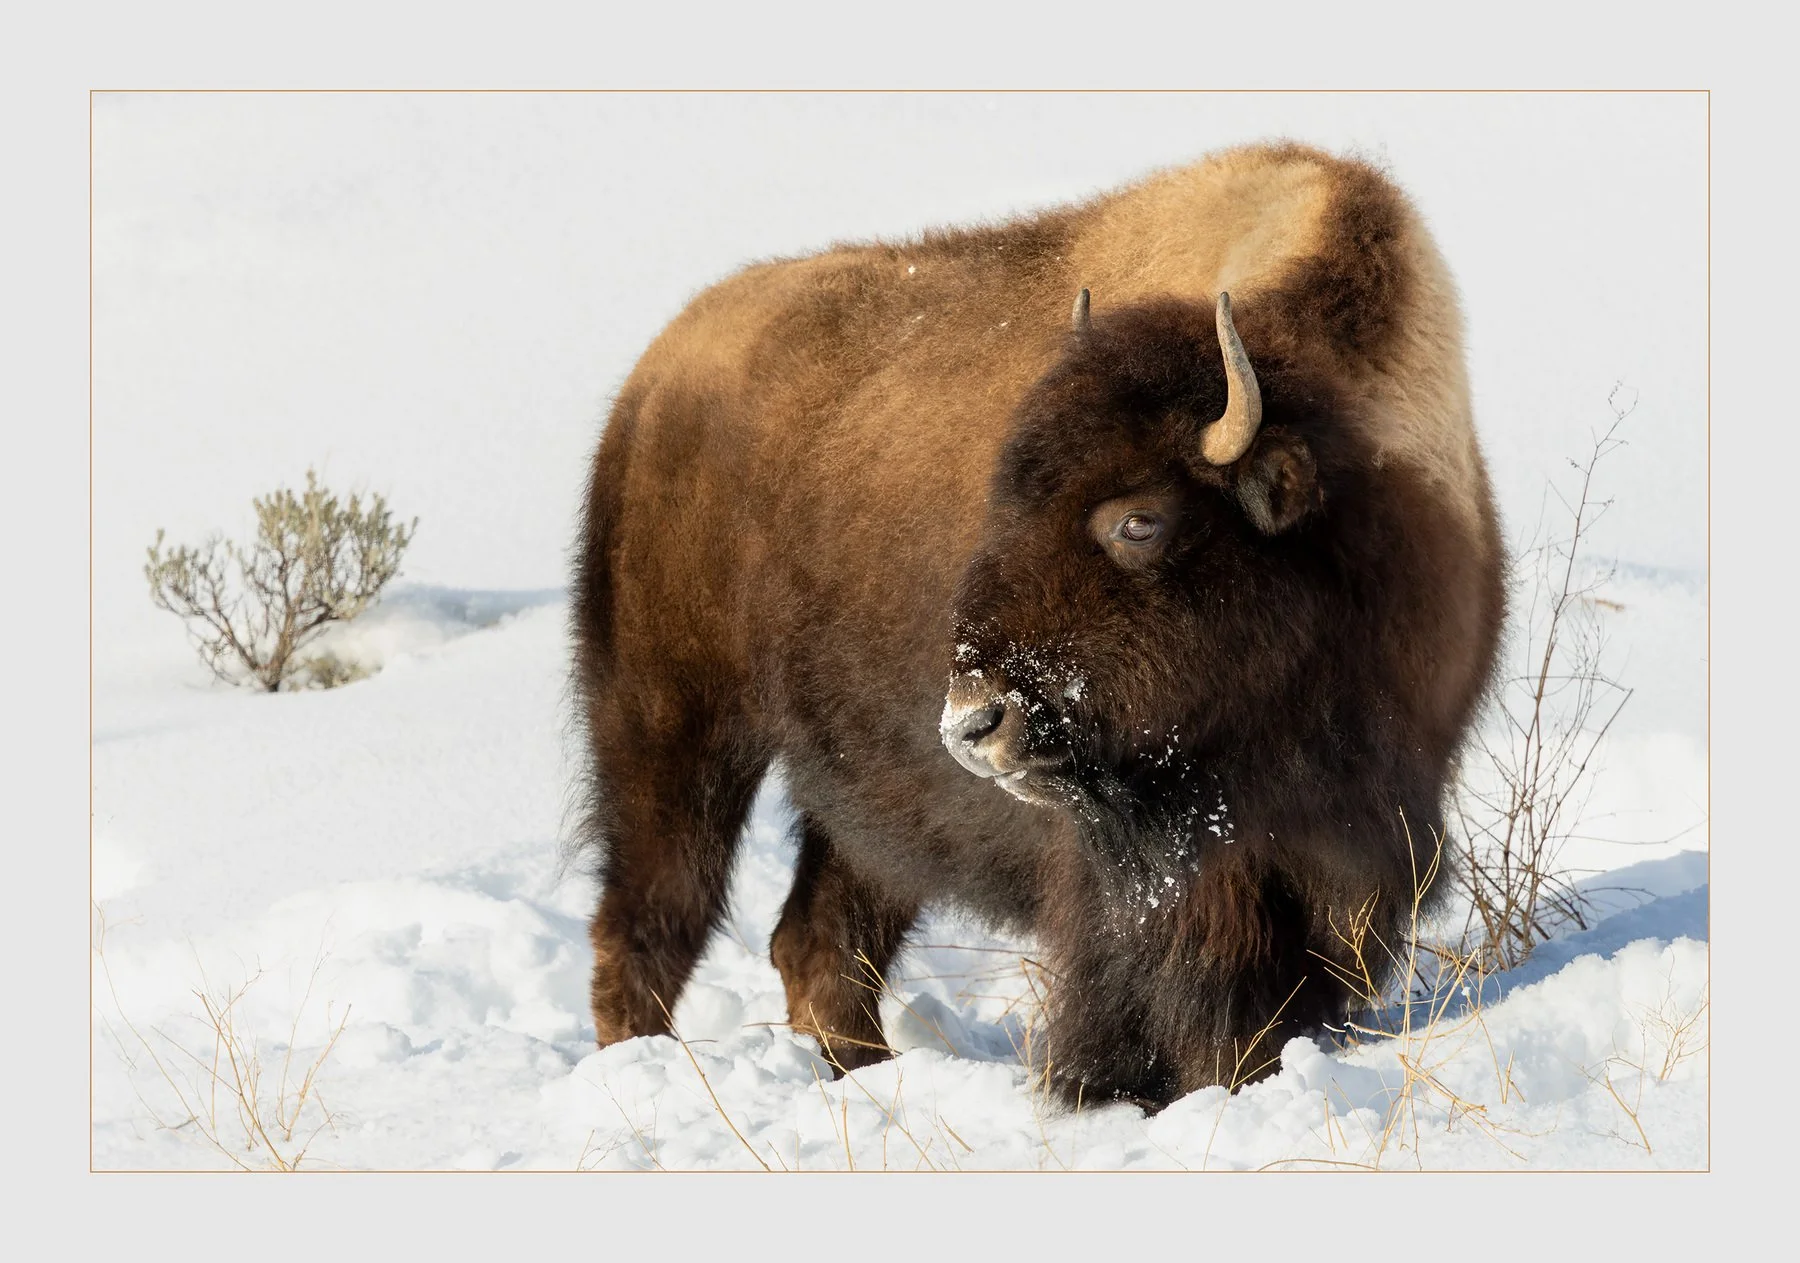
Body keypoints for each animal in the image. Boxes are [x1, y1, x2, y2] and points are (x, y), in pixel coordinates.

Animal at [571, 141, 1505, 1109]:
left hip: (860, 803)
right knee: (648, 924)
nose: (974, 723)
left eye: (1140, 521)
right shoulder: (1148, 874)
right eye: (1005, 497)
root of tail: (655, 377)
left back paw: (867, 1077)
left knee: (818, 940)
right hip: (672, 736)